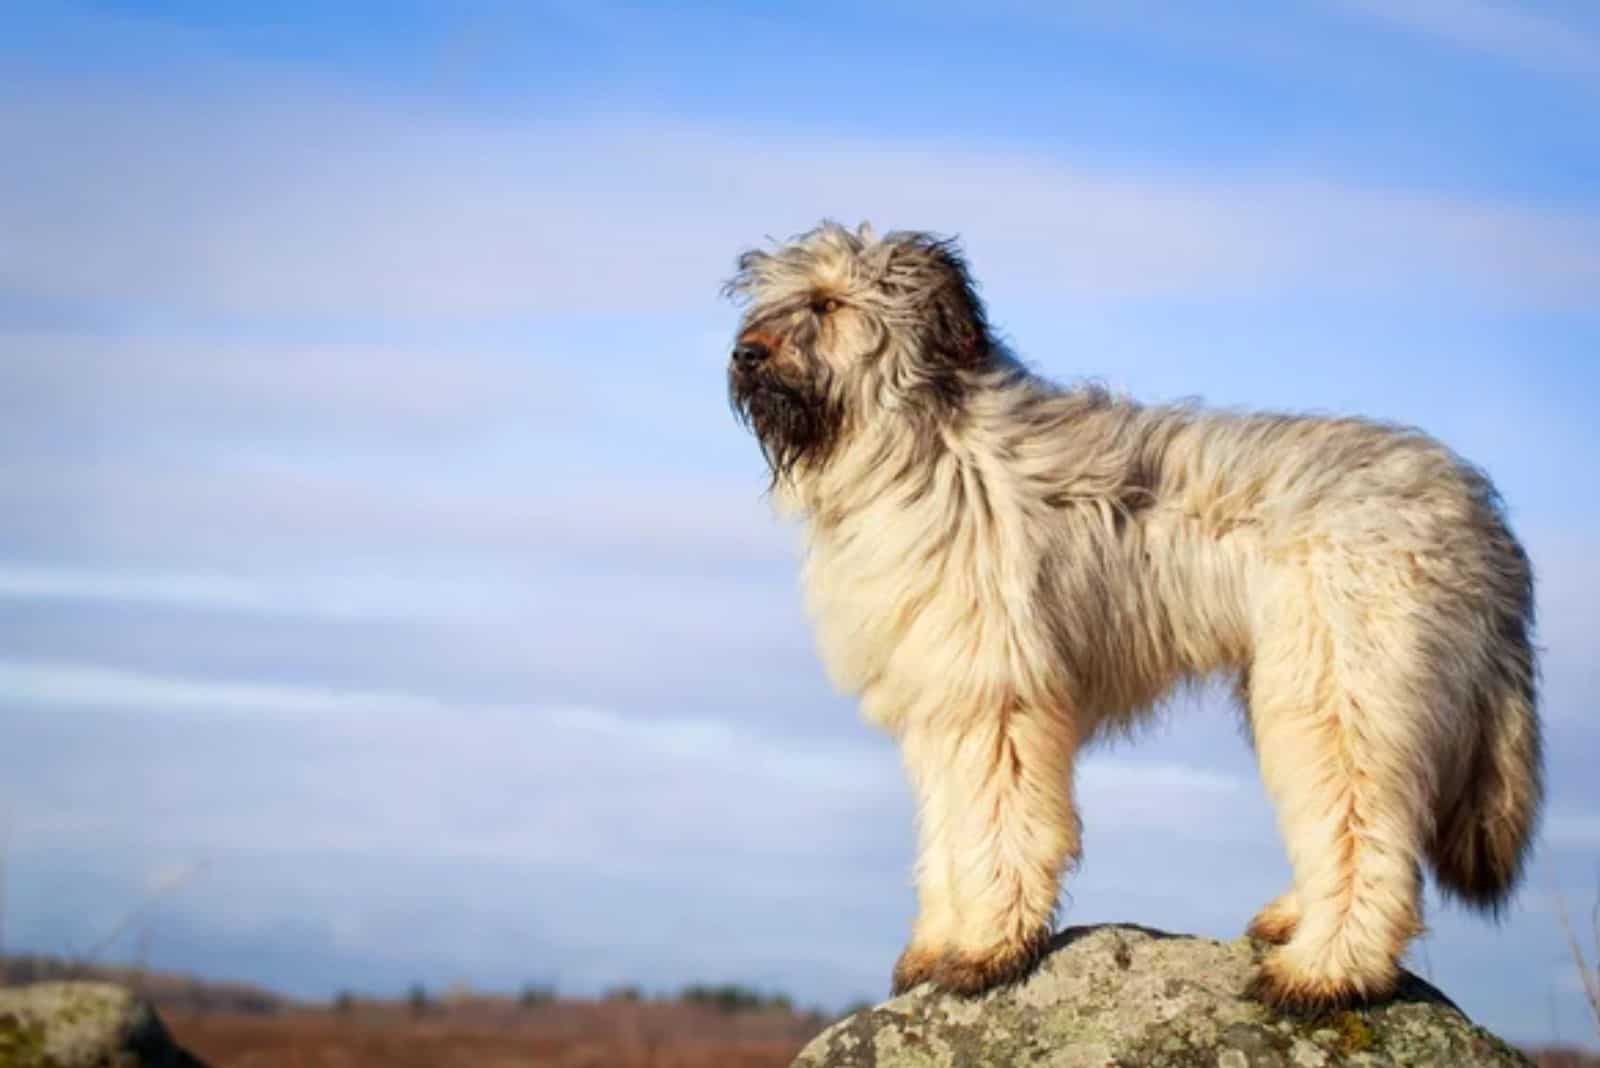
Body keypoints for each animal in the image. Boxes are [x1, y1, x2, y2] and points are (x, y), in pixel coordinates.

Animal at [723, 223, 1536, 1010]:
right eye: (771, 299)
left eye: (827, 303)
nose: (743, 352)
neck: (922, 451)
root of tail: (1476, 508)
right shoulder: (942, 701)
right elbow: (949, 828)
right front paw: (939, 943)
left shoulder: (998, 694)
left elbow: (998, 824)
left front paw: (987, 947)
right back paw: (1294, 921)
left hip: (1342, 688)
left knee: (1366, 834)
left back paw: (1327, 972)